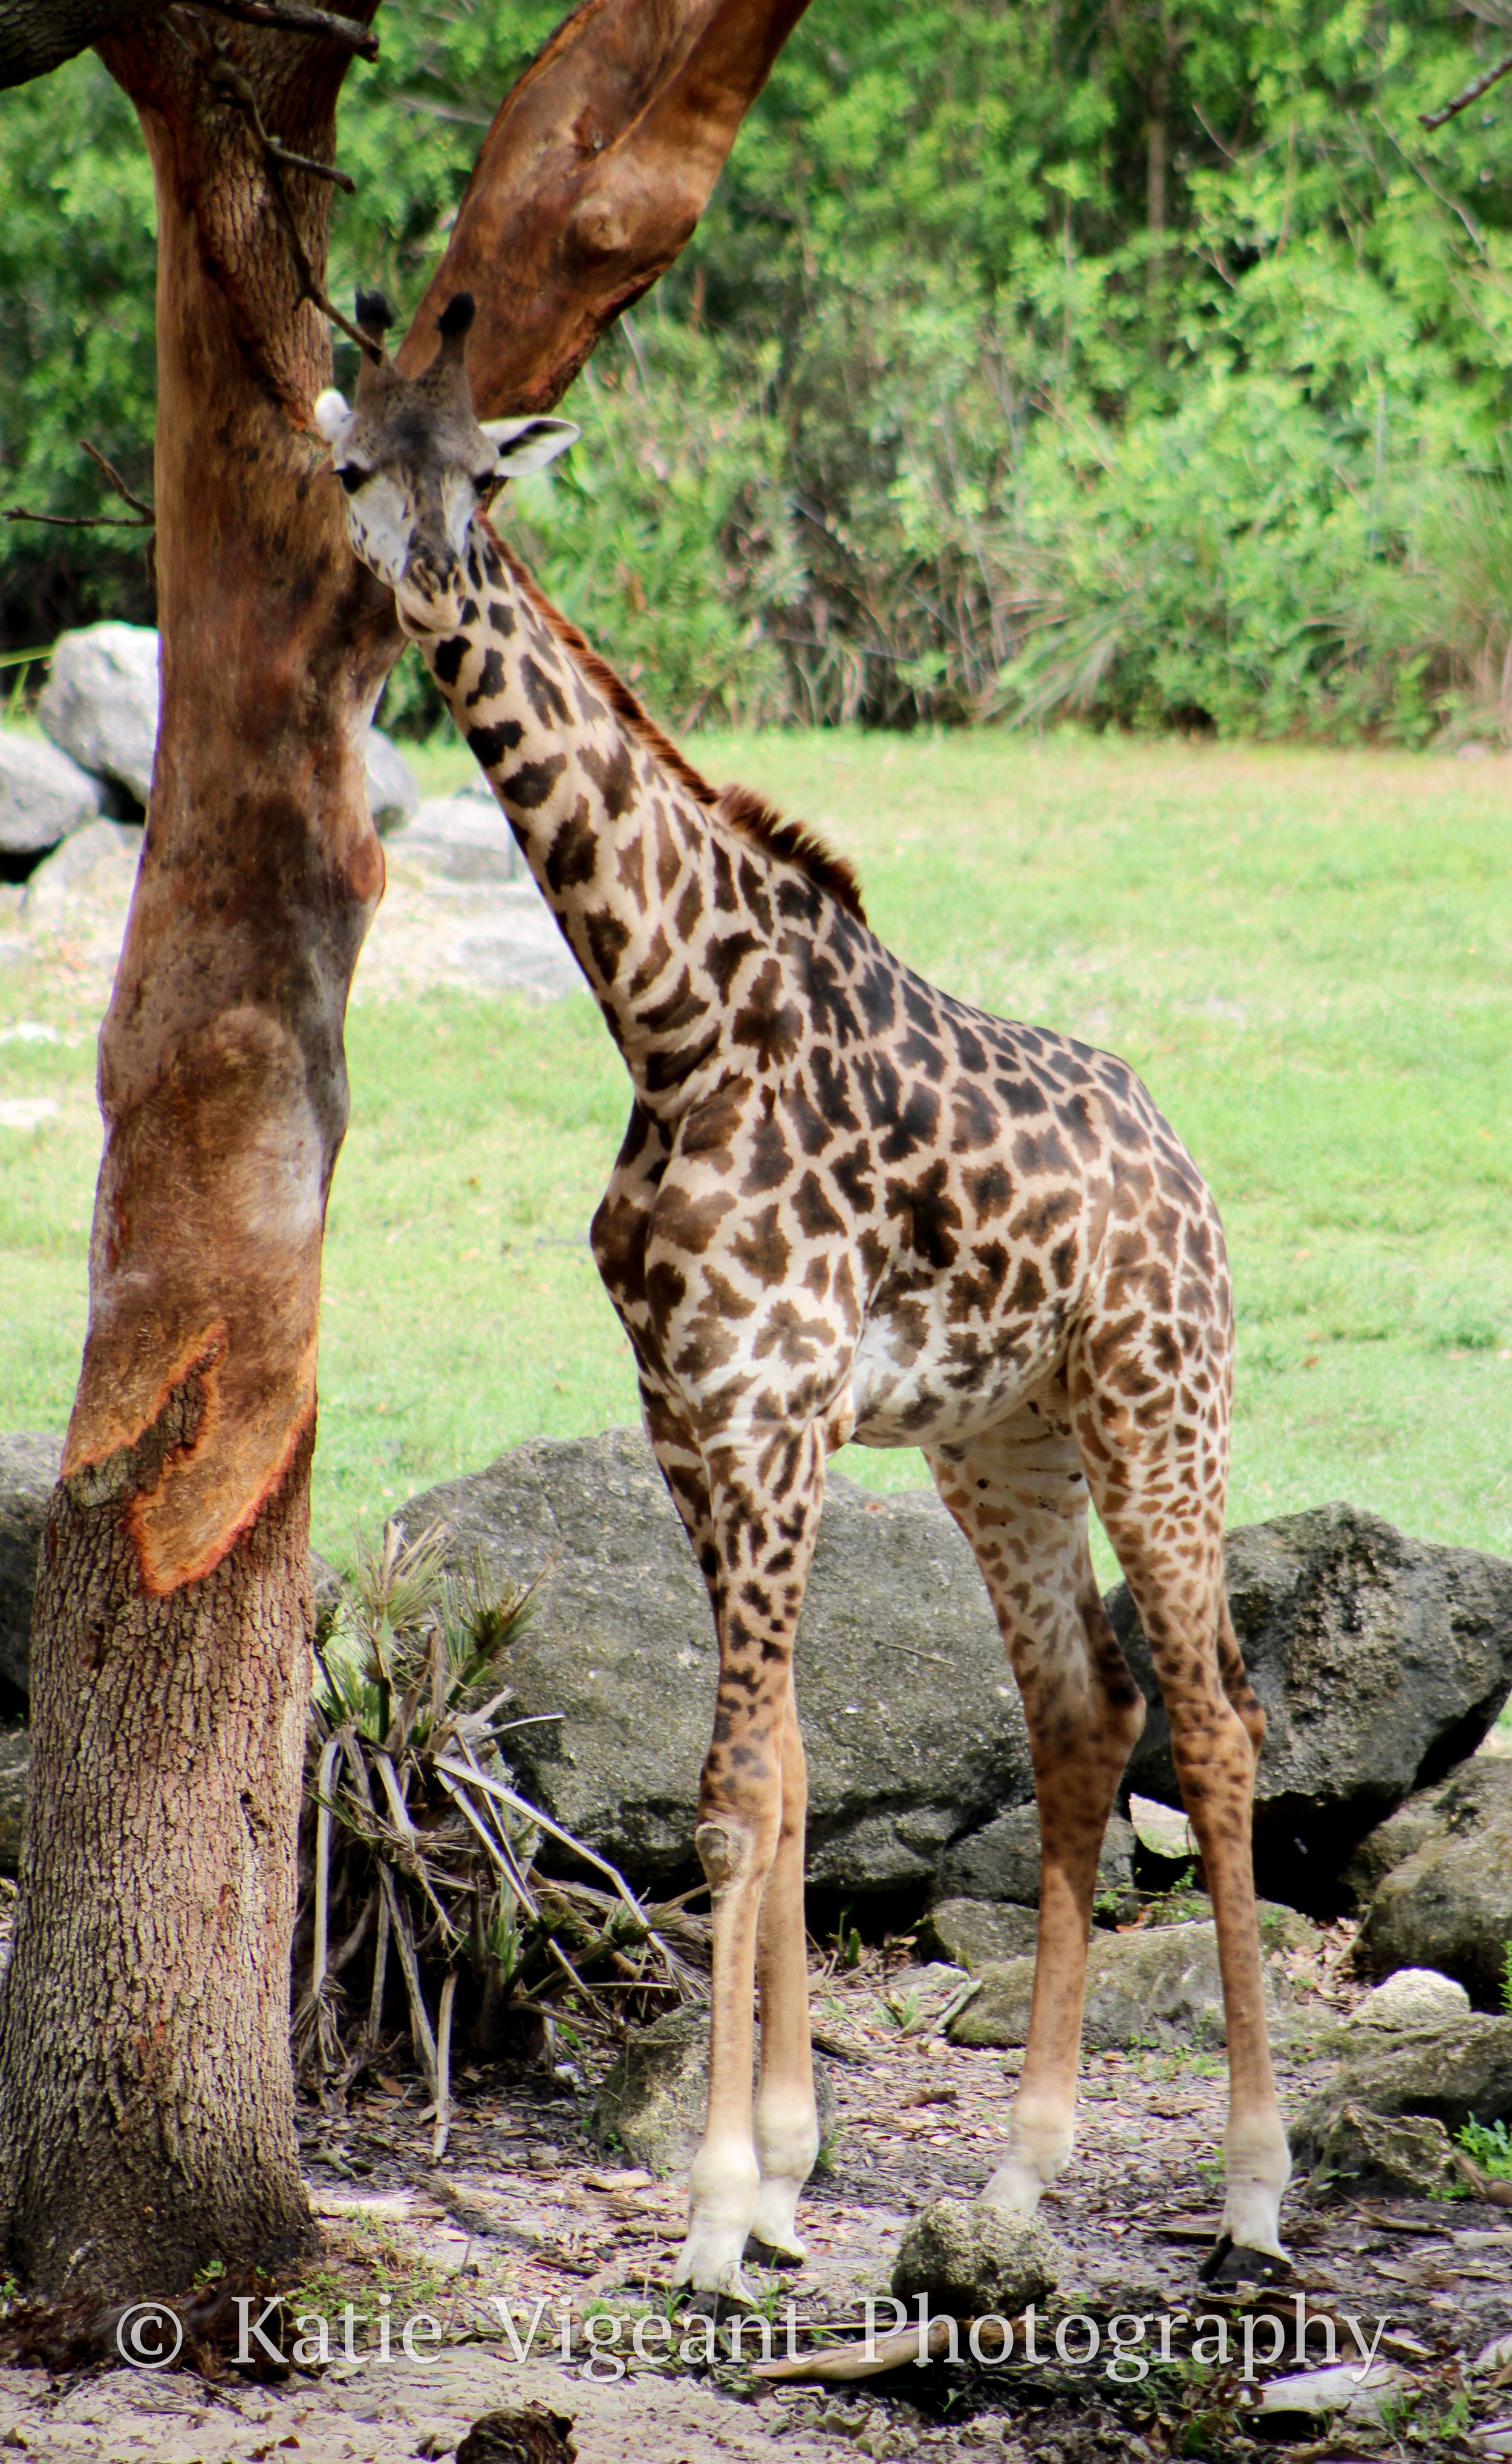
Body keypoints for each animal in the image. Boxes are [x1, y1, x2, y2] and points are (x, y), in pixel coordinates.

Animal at [314, 291, 1291, 2299]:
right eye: (357, 461)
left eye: (483, 472)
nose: (430, 573)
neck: (672, 1013)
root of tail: (1181, 1162)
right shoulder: (690, 1419)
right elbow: (769, 1764)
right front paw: (772, 2174)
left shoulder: (768, 1414)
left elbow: (735, 1782)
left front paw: (710, 2209)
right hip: (1002, 1444)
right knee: (1082, 1715)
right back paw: (1019, 2176)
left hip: (1161, 1406)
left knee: (1216, 1720)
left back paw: (1248, 2188)